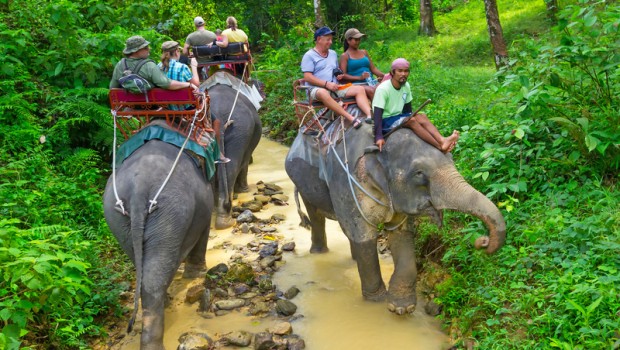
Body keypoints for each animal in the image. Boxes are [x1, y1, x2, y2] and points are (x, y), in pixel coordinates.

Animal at [284, 120, 504, 314]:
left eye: (452, 159)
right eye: (419, 173)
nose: (483, 242)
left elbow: (401, 234)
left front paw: (401, 308)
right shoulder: (346, 184)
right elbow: (363, 234)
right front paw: (376, 301)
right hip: (303, 180)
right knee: (316, 216)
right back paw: (319, 252)